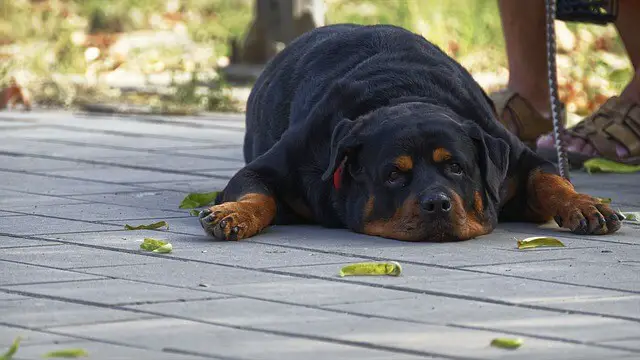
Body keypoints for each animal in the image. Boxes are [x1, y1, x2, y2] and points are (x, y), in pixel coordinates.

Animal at [198, 23, 624, 240]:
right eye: (393, 175)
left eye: (456, 168)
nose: (437, 203)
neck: (405, 94)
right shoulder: (279, 163)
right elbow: (257, 192)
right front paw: (234, 213)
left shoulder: (515, 157)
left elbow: (551, 180)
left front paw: (584, 205)